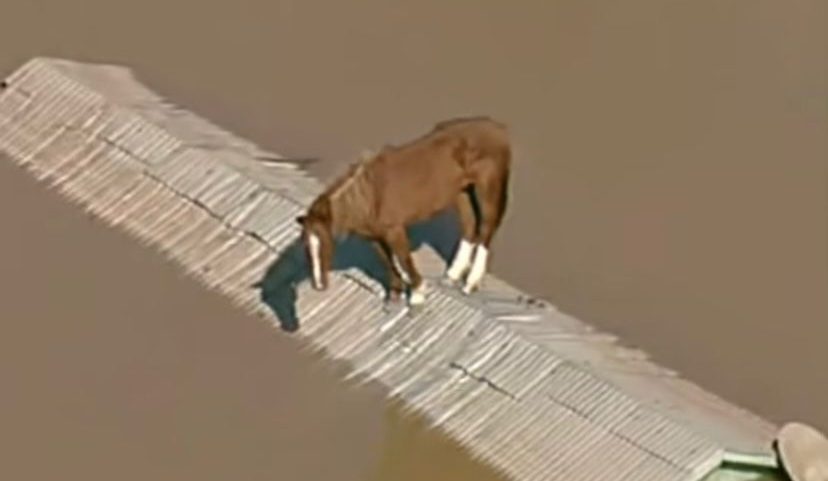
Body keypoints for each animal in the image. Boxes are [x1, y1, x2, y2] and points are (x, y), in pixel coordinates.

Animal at [295, 116, 512, 306]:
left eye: (325, 243)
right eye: (306, 246)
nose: (318, 285)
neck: (369, 196)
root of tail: (499, 128)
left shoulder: (395, 230)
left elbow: (403, 258)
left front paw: (417, 294)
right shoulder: (375, 237)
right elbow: (388, 262)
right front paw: (395, 294)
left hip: (489, 188)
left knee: (486, 228)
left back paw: (470, 283)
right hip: (461, 192)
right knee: (470, 226)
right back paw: (452, 275)